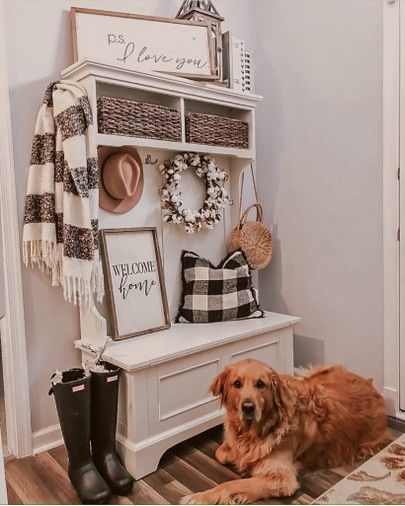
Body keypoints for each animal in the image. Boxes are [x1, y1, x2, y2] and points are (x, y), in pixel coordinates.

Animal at [181, 358, 386, 504]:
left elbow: (229, 485)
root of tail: (369, 383)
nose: (248, 408)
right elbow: (221, 453)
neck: (254, 432)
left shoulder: (281, 479)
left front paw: (199, 497)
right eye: (237, 384)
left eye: (260, 384)